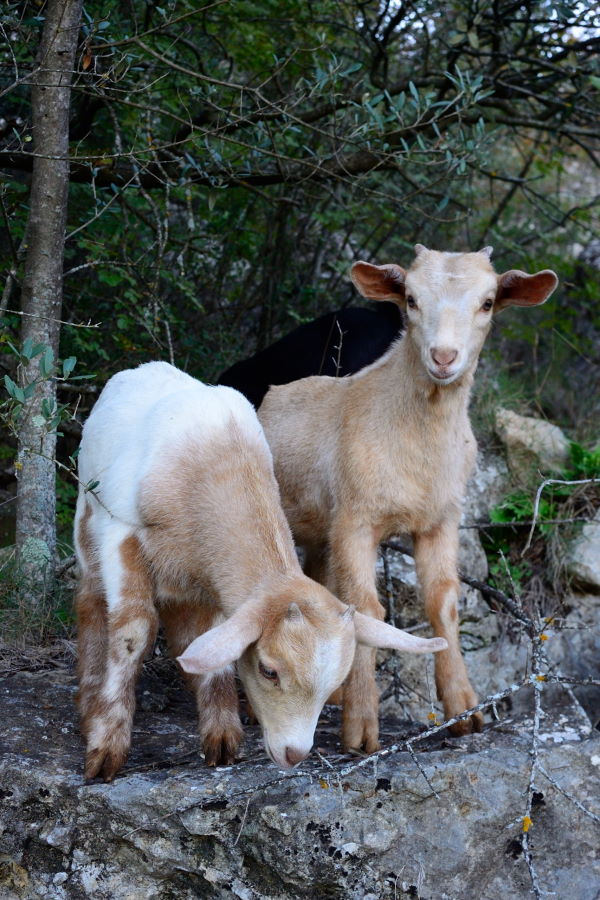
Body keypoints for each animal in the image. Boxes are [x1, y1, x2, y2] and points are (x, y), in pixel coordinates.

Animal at [74, 358, 446, 780]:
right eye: (269, 670)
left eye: (336, 682)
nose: (294, 753)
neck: (218, 462)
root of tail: (144, 367)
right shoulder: (123, 534)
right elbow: (132, 633)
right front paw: (107, 746)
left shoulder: (215, 581)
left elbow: (215, 640)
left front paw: (221, 737)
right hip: (88, 515)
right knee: (90, 600)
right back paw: (89, 702)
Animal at [258, 246, 556, 752]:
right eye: (411, 300)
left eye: (488, 302)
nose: (443, 357)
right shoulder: (355, 520)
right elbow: (365, 607)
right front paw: (361, 728)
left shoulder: (442, 519)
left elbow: (443, 603)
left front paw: (464, 710)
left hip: (320, 531)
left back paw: (330, 693)